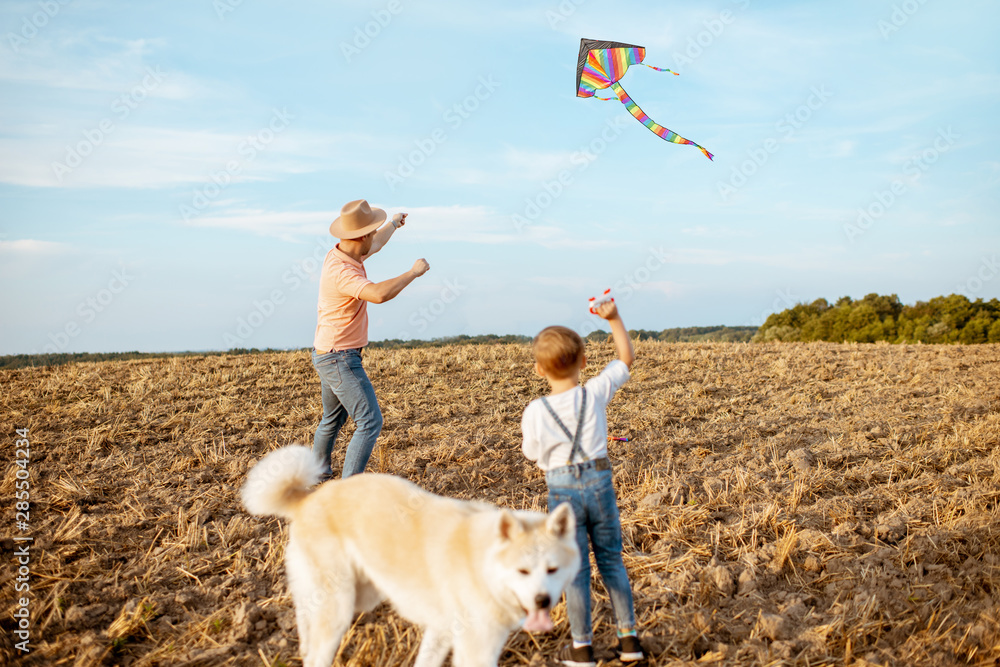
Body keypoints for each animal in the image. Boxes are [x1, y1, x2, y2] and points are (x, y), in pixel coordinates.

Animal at [240, 444, 580, 667]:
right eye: (522, 571)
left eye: (552, 570)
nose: (542, 601)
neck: (482, 562)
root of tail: (307, 499)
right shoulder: (476, 647)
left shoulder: (442, 631)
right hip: (339, 605)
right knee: (317, 650)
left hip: (356, 595)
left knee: (304, 614)